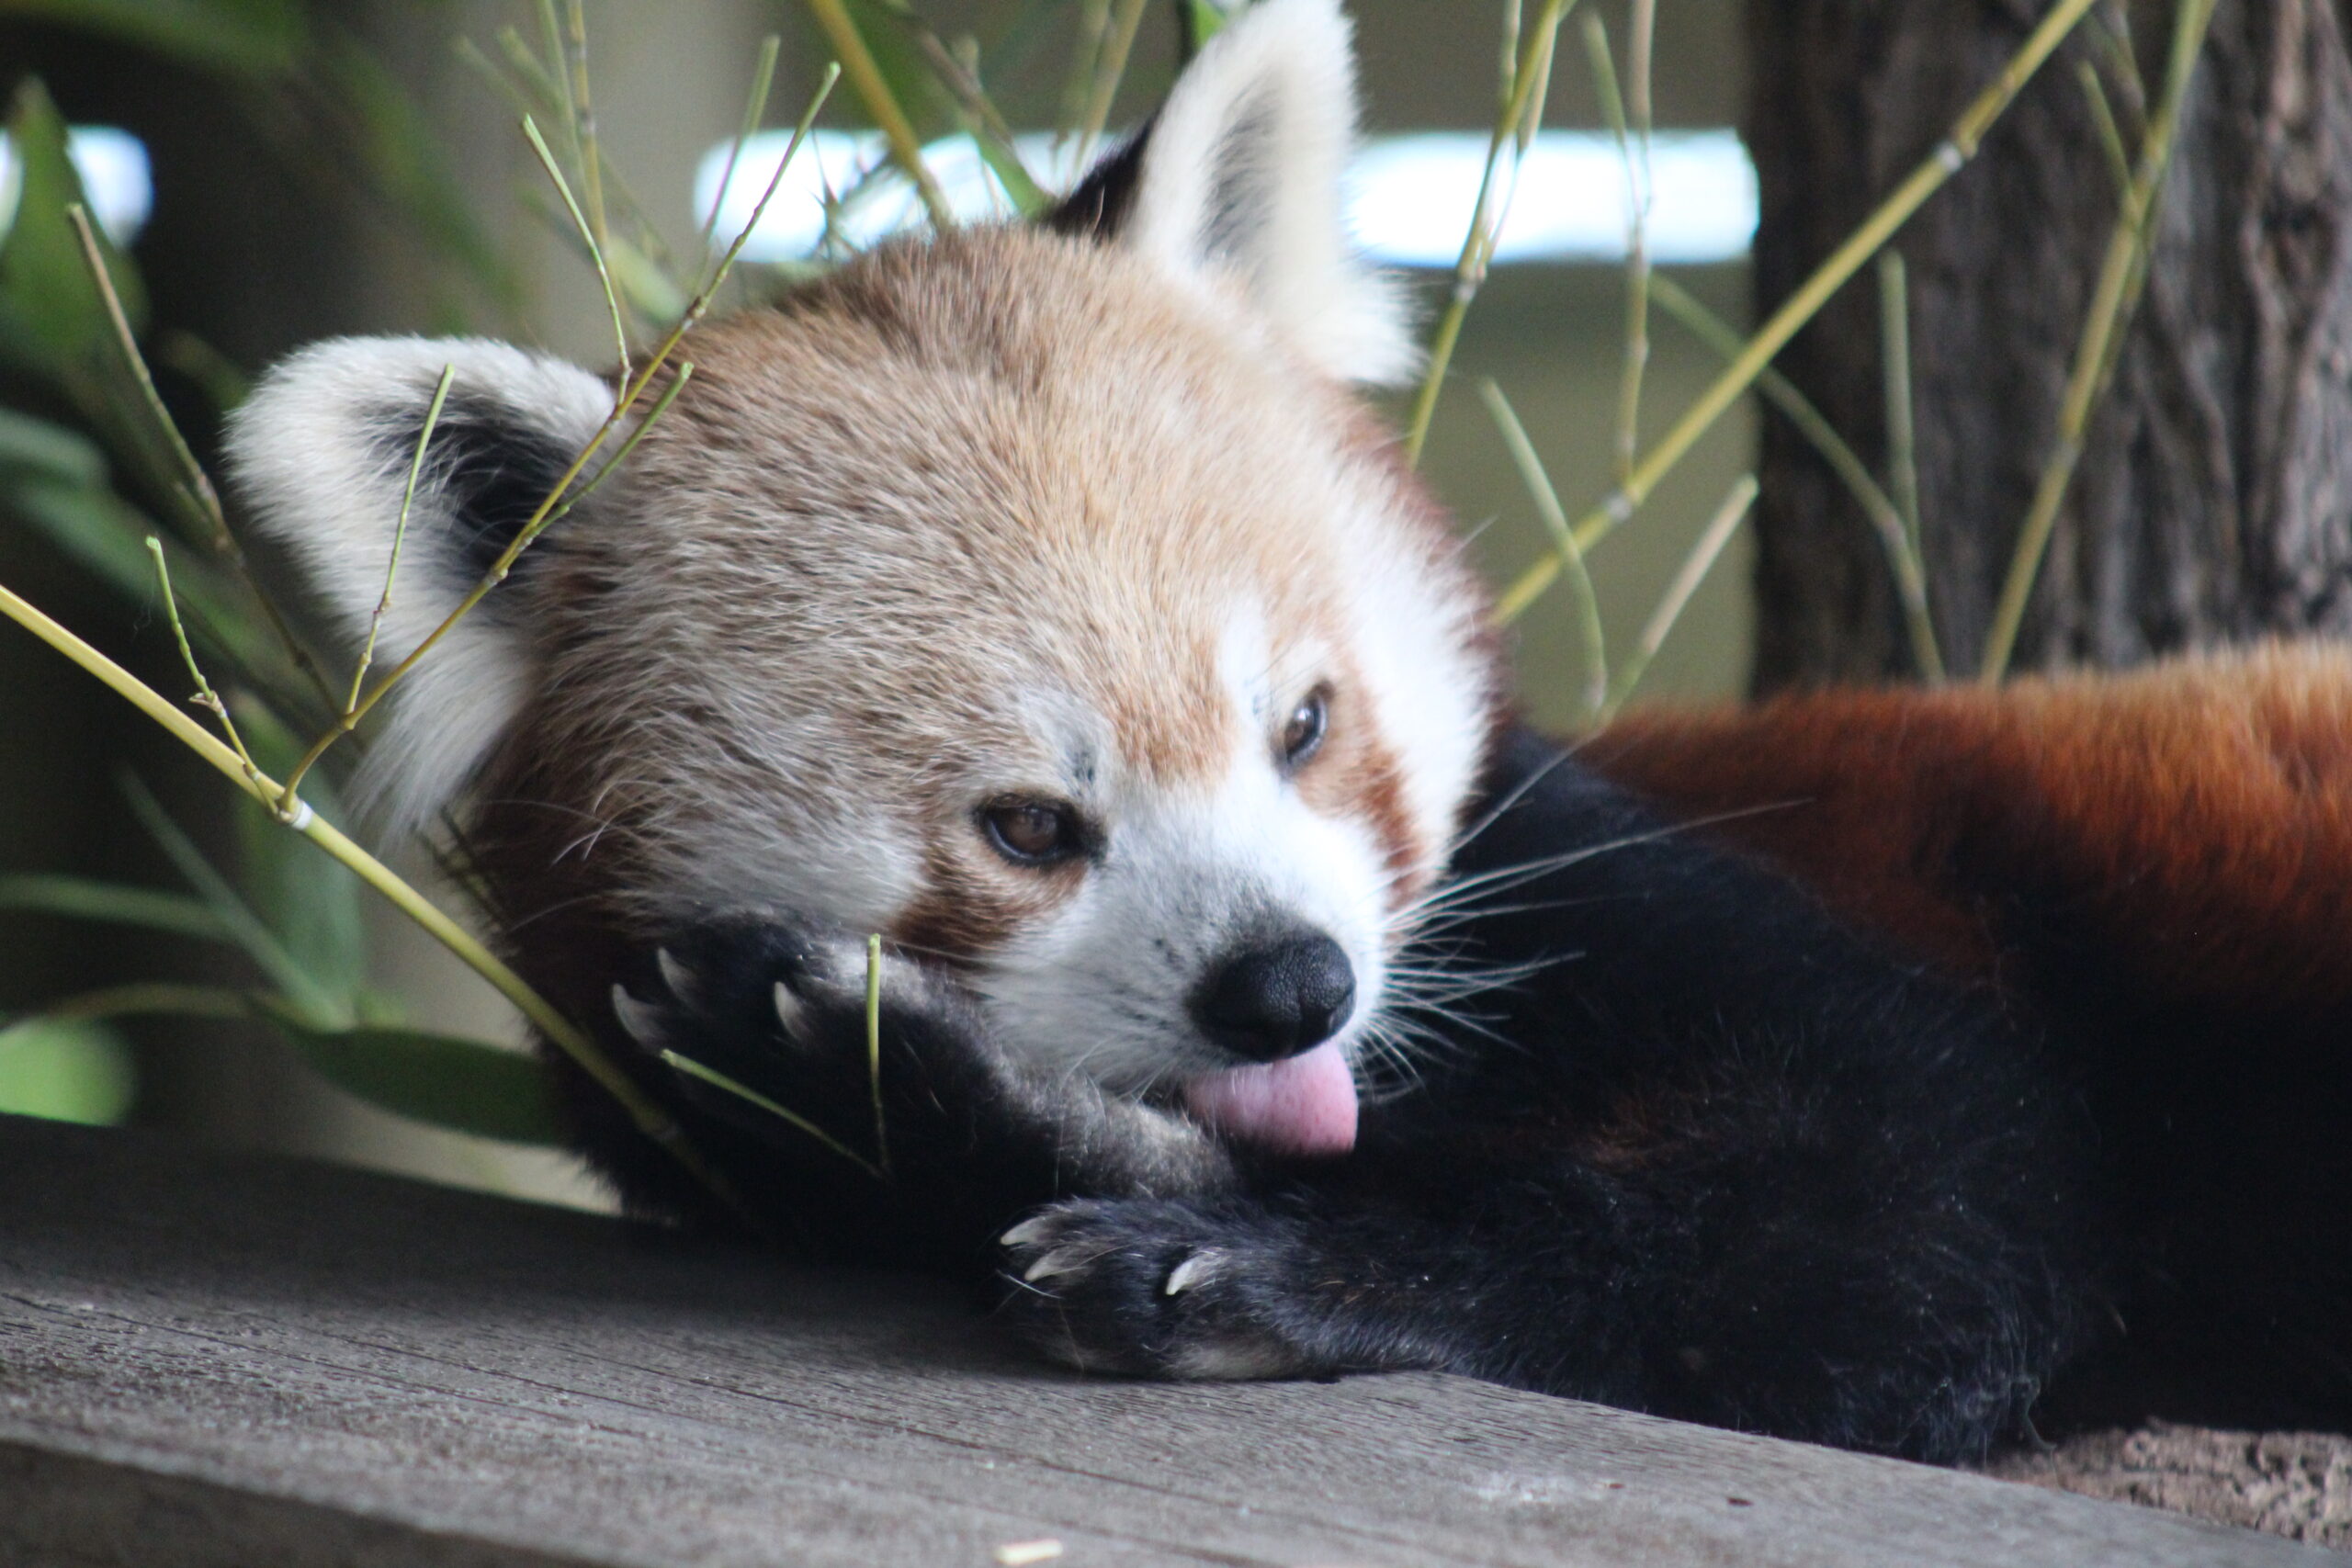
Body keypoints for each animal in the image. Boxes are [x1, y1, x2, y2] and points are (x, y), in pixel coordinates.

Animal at [220, 0, 2352, 1466]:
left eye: (1307, 724)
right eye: (1028, 825)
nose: (1287, 984)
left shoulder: (1701, 910)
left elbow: (1925, 1213)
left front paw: (1245, 1259)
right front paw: (890, 1107)